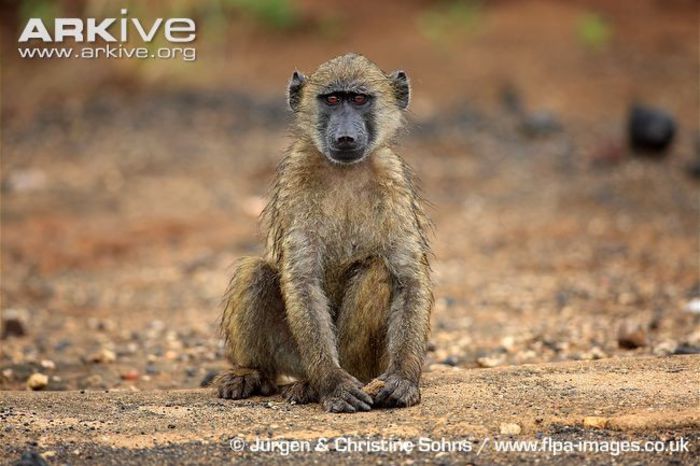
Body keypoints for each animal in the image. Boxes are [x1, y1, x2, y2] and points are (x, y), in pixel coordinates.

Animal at [216, 53, 433, 413]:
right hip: (295, 354)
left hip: (365, 362)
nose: (345, 137)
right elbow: (303, 279)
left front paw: (402, 379)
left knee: (377, 270)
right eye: (332, 100)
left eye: (358, 99)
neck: (345, 171)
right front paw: (333, 385)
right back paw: (260, 374)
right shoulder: (297, 176)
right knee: (254, 272)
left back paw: (315, 384)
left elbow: (409, 279)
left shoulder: (393, 181)